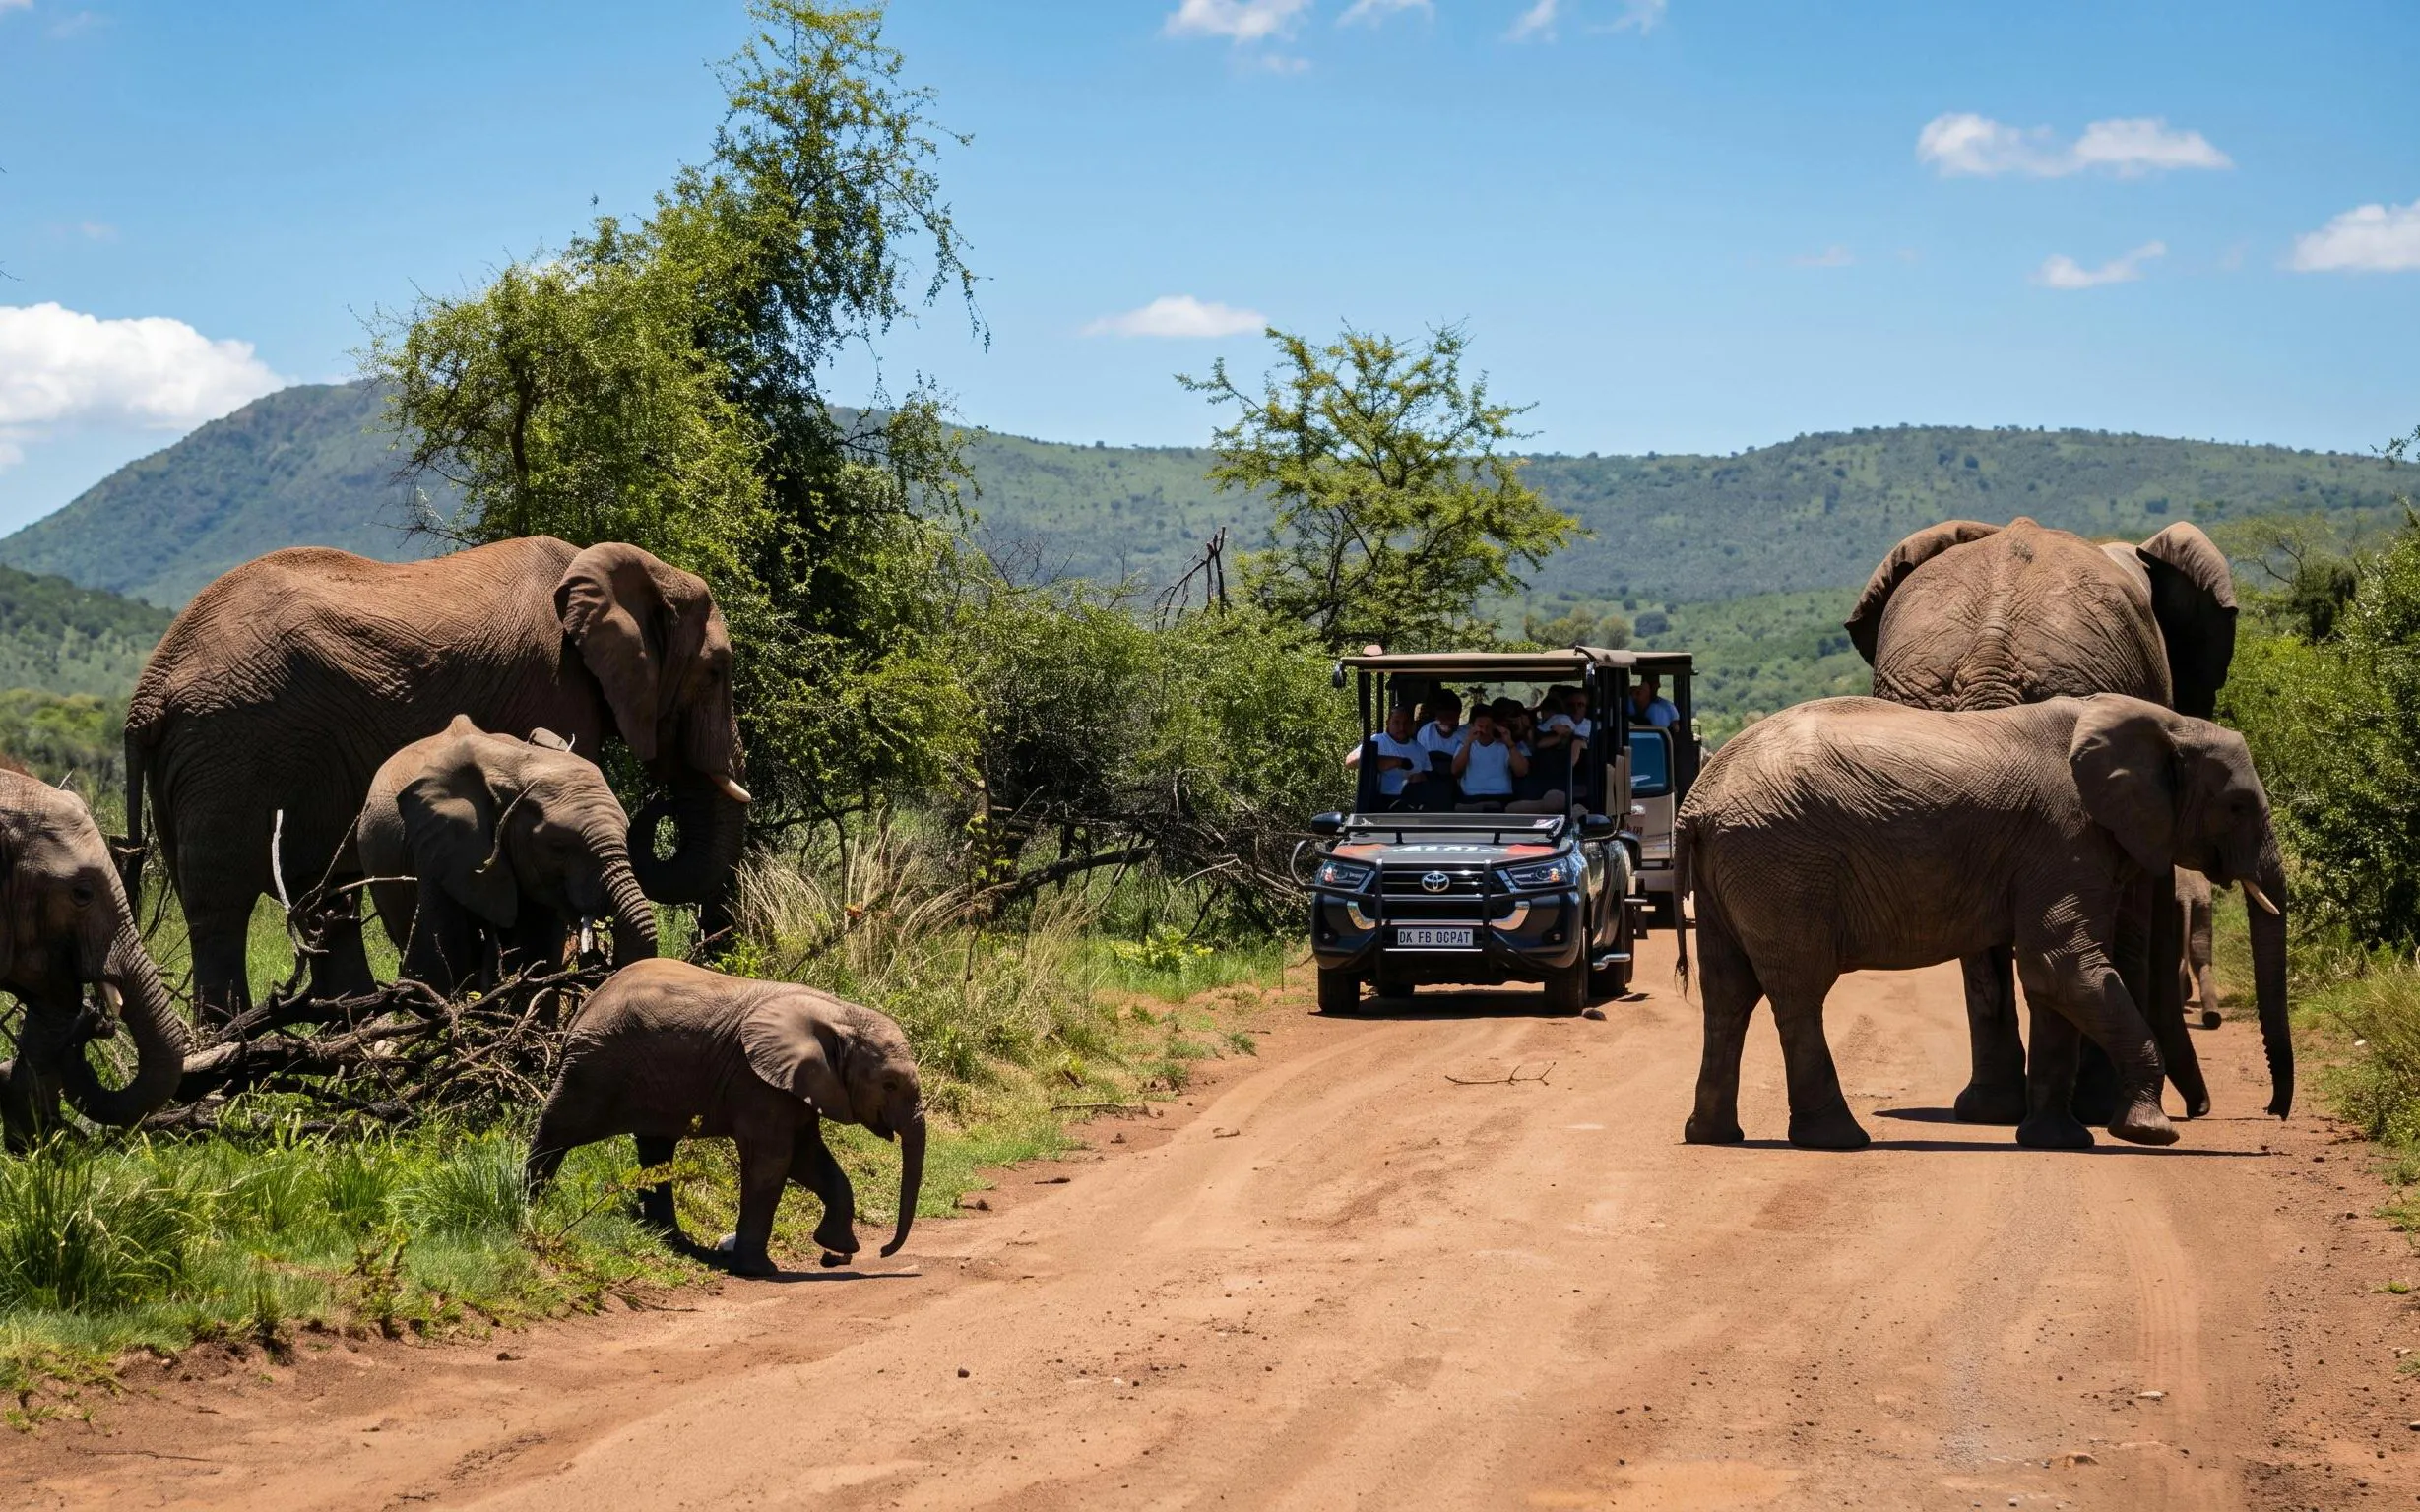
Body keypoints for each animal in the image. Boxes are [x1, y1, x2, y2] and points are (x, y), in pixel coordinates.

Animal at [355, 717, 657, 995]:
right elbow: (437, 965)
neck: (514, 767)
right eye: (558, 848)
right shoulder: (438, 846)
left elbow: (540, 962)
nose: (601, 958)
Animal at [524, 958, 926, 1277]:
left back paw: (671, 1239)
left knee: (656, 1149)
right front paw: (761, 1271)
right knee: (558, 1130)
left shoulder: (798, 1085)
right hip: (593, 1067)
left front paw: (836, 1245)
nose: (883, 1251)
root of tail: (586, 1002)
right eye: (889, 1084)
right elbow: (773, 1160)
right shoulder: (758, 1081)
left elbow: (808, 1158)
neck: (840, 1015)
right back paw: (527, 1204)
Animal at [1676, 694, 2290, 1151]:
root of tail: (1698, 801)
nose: (2274, 1113)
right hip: (1780, 861)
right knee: (1799, 991)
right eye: (2237, 806)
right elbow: (2062, 967)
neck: (2168, 724)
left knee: (1728, 994)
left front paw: (2059, 1142)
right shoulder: (2065, 836)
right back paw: (1838, 1139)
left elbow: (2051, 981)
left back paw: (1713, 1135)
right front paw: (2149, 1134)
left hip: (1736, 866)